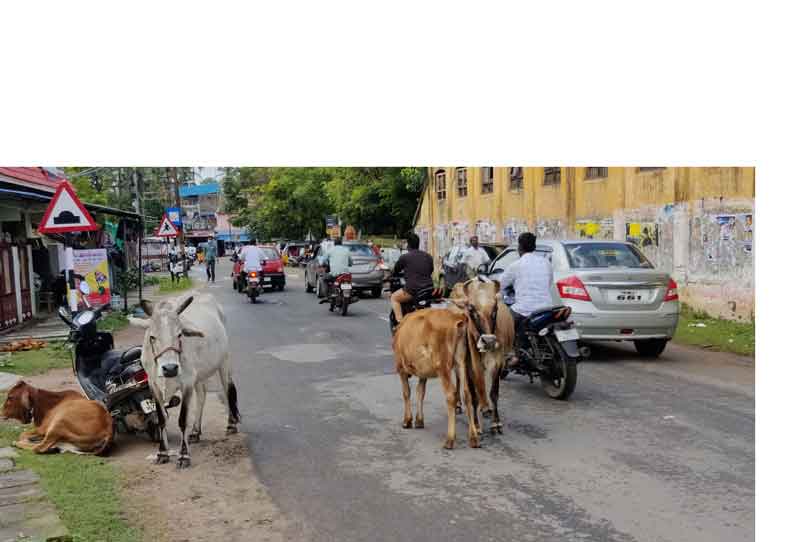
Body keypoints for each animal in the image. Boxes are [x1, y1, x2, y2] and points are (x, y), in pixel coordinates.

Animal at [133, 296, 240, 470]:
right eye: (152, 337)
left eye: (179, 335)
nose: (170, 368)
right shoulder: (153, 385)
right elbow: (161, 419)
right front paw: (162, 453)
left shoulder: (187, 383)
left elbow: (182, 420)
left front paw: (184, 456)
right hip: (200, 373)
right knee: (202, 395)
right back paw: (196, 431)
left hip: (224, 362)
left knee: (227, 389)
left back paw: (231, 425)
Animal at [392, 306, 482, 450]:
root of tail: (458, 316)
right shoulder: (423, 372)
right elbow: (420, 392)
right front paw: (419, 420)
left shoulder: (401, 368)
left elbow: (406, 393)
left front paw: (407, 420)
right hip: (461, 362)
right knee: (467, 394)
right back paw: (473, 438)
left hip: (443, 366)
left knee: (451, 395)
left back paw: (450, 440)